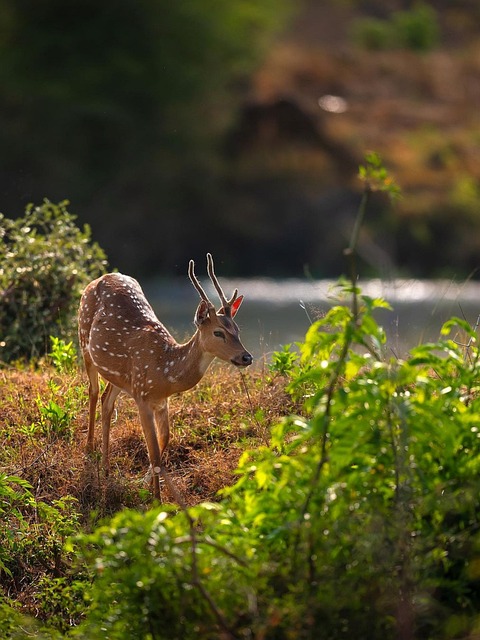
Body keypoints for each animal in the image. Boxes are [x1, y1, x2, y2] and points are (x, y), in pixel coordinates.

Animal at [78, 252, 251, 498]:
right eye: (218, 332)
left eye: (237, 330)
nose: (247, 357)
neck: (165, 370)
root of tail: (100, 277)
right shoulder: (142, 395)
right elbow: (154, 455)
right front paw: (156, 501)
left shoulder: (161, 401)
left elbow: (164, 443)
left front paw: (149, 488)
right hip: (84, 339)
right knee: (93, 392)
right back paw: (89, 451)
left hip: (119, 377)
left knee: (106, 400)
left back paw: (106, 469)